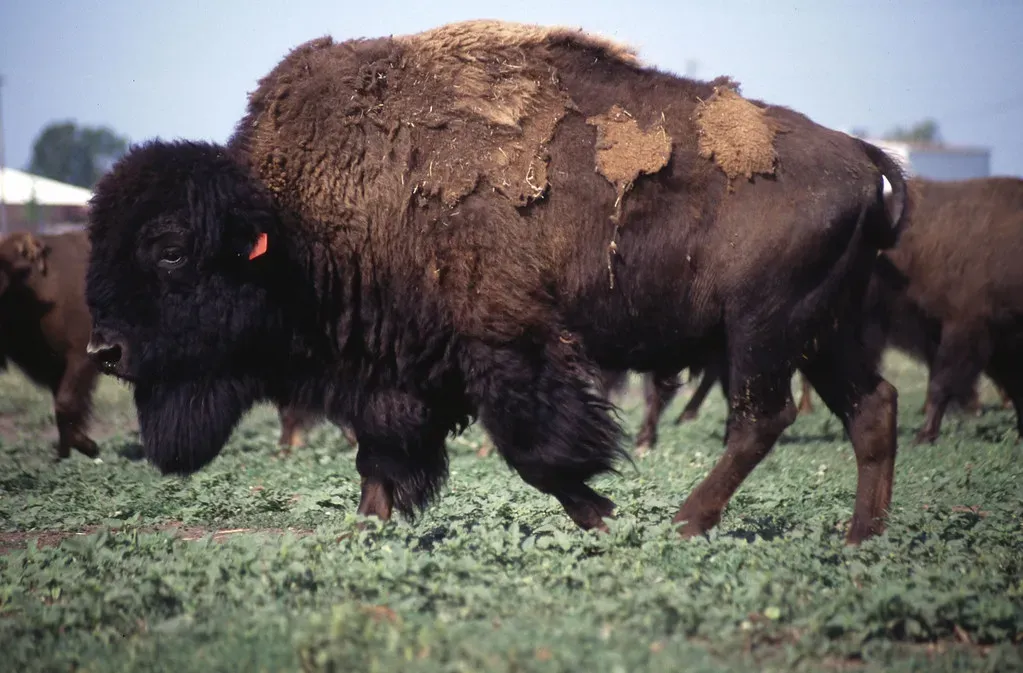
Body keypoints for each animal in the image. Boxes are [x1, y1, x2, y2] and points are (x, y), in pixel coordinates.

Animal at [0, 230, 101, 460]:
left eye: (10, 270)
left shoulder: (81, 357)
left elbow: (65, 403)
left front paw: (84, 447)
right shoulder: (55, 366)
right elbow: (64, 405)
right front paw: (73, 449)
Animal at [83, 20, 909, 544]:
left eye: (168, 250)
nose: (104, 349)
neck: (290, 218)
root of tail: (863, 155)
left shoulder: (505, 345)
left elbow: (538, 451)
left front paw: (605, 516)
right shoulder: (392, 374)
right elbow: (380, 459)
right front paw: (367, 532)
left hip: (763, 332)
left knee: (761, 419)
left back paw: (684, 522)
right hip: (821, 333)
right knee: (870, 408)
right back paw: (857, 537)